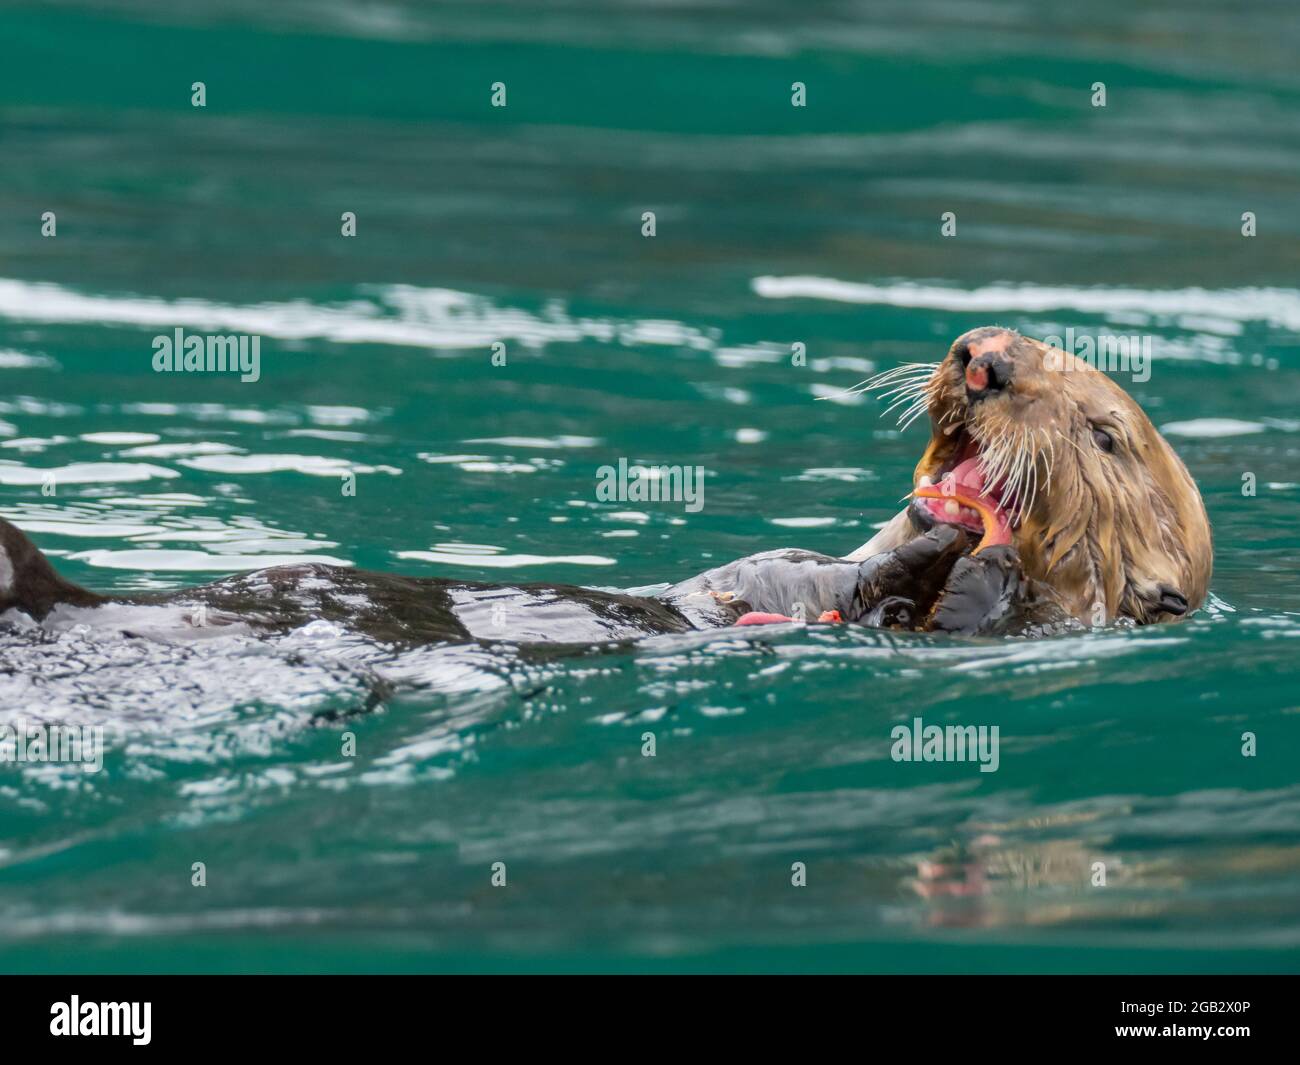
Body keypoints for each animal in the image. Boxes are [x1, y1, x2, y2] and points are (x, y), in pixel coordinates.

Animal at [0, 326, 1206, 642]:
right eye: (989, 343)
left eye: (1104, 433)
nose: (982, 356)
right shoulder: (797, 569)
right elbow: (774, 573)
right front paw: (919, 544)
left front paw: (963, 560)